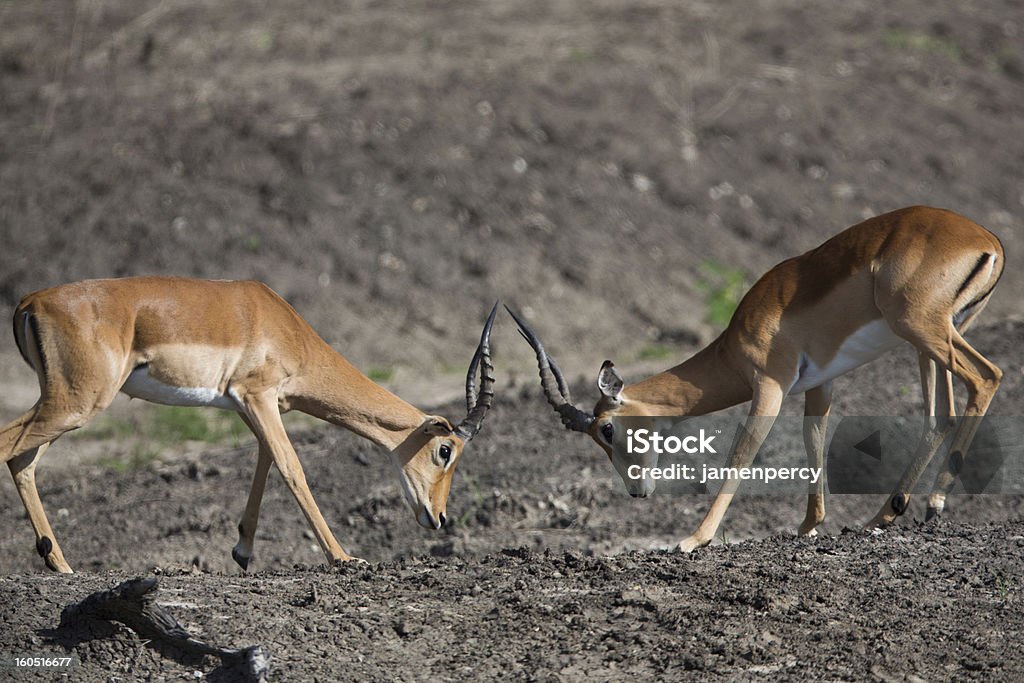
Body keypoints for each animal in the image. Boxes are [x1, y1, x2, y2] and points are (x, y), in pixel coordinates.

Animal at [0, 278, 495, 573]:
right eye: (445, 451)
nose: (439, 518)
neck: (286, 328)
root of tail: (30, 302)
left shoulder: (250, 405)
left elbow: (267, 461)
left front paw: (242, 551)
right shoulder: (259, 396)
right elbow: (293, 467)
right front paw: (344, 557)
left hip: (63, 404)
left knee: (23, 461)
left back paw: (61, 565)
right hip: (78, 402)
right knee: (11, 449)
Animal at [507, 205, 1003, 552]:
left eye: (607, 429)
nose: (635, 490)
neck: (733, 342)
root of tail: (987, 240)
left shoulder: (770, 387)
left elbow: (739, 456)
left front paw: (693, 540)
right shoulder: (819, 384)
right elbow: (814, 440)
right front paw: (808, 527)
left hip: (922, 330)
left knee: (986, 377)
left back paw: (934, 504)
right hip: (929, 341)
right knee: (940, 415)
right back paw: (884, 515)